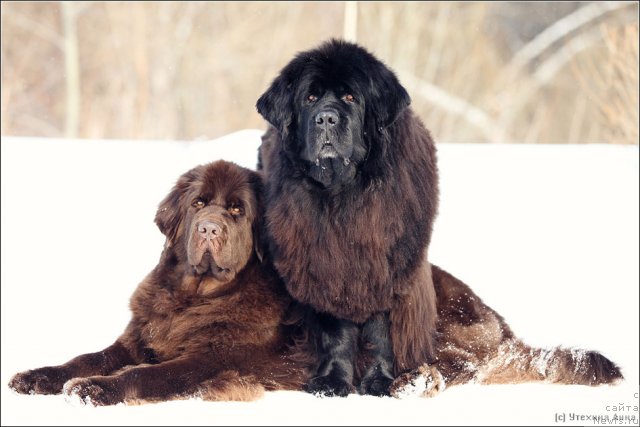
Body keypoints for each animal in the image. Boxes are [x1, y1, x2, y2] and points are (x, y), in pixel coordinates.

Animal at [8, 161, 308, 408]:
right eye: (198, 203)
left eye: (237, 209)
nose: (209, 229)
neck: (194, 297)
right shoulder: (137, 338)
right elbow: (88, 358)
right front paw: (37, 377)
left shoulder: (211, 360)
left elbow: (145, 373)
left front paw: (94, 387)